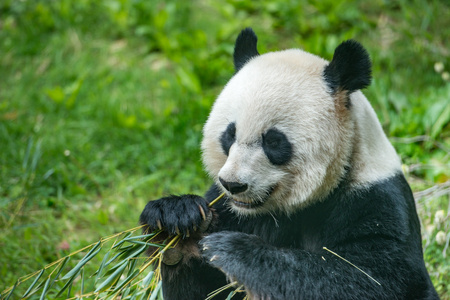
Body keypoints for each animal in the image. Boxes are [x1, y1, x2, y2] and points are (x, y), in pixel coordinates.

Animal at [139, 28, 438, 300]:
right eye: (229, 134)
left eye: (273, 141)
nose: (233, 184)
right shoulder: (227, 207)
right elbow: (205, 289)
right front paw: (176, 223)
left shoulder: (375, 198)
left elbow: (369, 278)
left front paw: (234, 250)